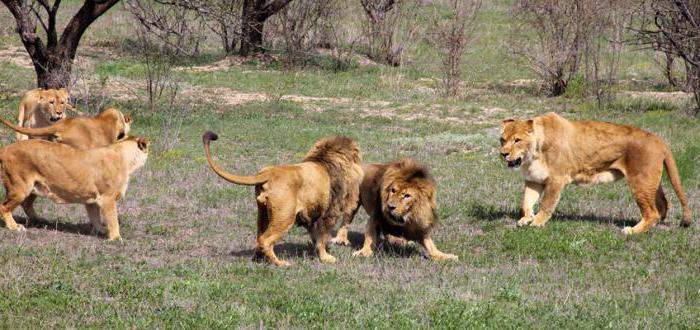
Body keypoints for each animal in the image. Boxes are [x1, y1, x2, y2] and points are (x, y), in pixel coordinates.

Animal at [0, 135, 149, 238]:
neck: (125, 157)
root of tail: (5, 149)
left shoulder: (92, 200)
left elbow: (95, 217)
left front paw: (100, 230)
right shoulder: (107, 198)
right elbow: (113, 220)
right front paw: (116, 238)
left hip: (34, 188)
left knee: (26, 204)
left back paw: (40, 220)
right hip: (20, 188)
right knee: (4, 207)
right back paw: (15, 227)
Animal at [202, 131, 364, 266]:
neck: (327, 159)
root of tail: (268, 173)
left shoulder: (312, 216)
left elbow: (315, 237)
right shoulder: (328, 214)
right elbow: (322, 238)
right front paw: (326, 257)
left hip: (263, 214)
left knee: (259, 237)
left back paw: (258, 259)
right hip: (285, 217)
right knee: (265, 240)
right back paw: (280, 263)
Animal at [500, 112, 692, 233]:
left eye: (517, 140)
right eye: (502, 140)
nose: (503, 154)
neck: (533, 154)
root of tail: (660, 141)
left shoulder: (556, 179)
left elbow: (546, 204)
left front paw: (537, 223)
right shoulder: (534, 180)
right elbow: (526, 202)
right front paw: (526, 219)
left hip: (640, 181)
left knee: (652, 212)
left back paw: (632, 231)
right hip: (652, 181)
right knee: (663, 204)